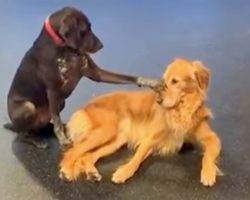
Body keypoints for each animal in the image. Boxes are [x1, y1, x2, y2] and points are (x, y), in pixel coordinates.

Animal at [59, 57, 222, 186]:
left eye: (175, 81)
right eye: (163, 82)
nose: (158, 100)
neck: (181, 111)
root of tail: (86, 105)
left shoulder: (212, 137)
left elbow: (208, 156)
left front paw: (208, 172)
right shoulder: (150, 139)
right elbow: (136, 158)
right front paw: (123, 172)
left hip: (115, 141)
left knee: (88, 156)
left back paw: (91, 172)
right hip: (105, 132)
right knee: (73, 151)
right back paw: (66, 170)